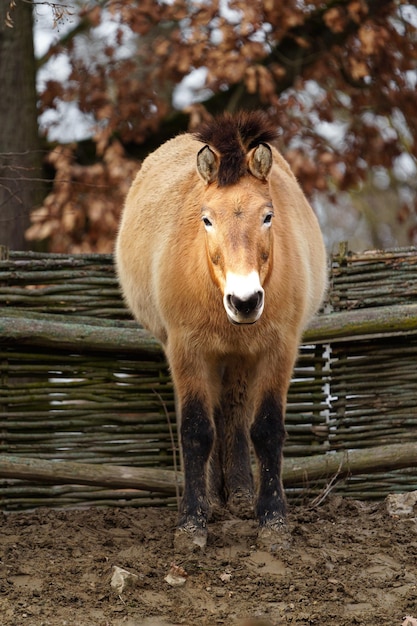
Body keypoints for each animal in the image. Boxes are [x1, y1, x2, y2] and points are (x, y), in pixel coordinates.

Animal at [115, 111, 326, 544]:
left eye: (268, 215)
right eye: (206, 218)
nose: (244, 301)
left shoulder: (278, 350)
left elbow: (266, 429)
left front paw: (273, 519)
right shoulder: (187, 350)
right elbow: (197, 430)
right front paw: (192, 522)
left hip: (242, 358)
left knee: (235, 413)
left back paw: (242, 494)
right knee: (216, 414)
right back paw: (215, 497)